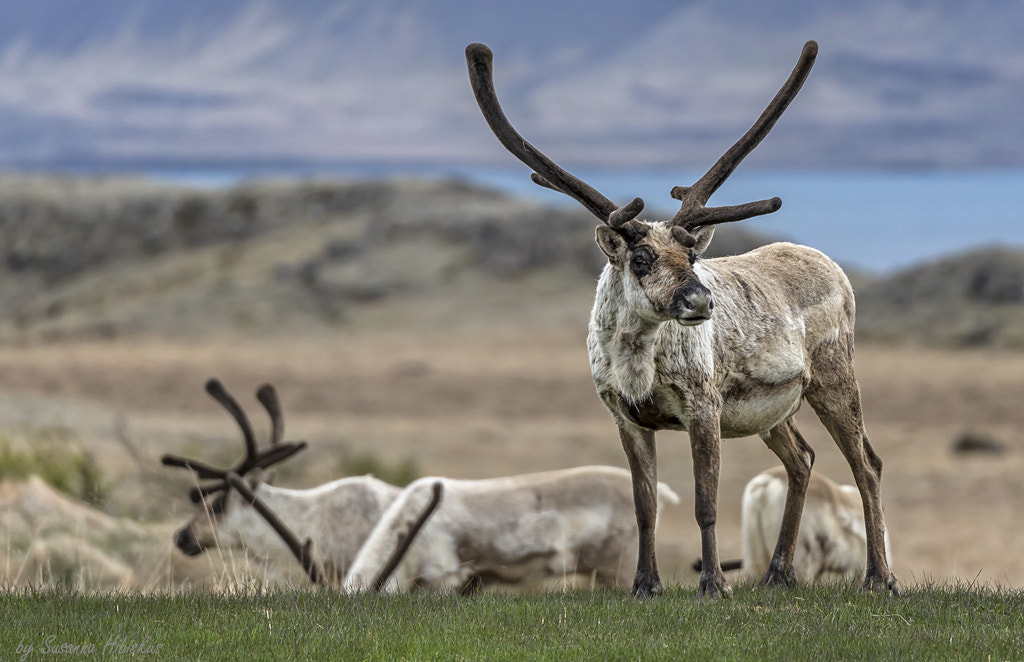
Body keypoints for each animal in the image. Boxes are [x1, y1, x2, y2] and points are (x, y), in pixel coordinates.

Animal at [467, 40, 898, 598]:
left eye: (692, 255)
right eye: (641, 258)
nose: (700, 301)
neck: (635, 361)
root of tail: (832, 265)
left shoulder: (703, 407)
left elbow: (705, 505)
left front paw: (713, 585)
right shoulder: (624, 417)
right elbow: (644, 508)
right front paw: (644, 585)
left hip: (833, 378)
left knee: (867, 463)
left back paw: (879, 578)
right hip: (775, 409)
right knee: (801, 459)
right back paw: (777, 574)